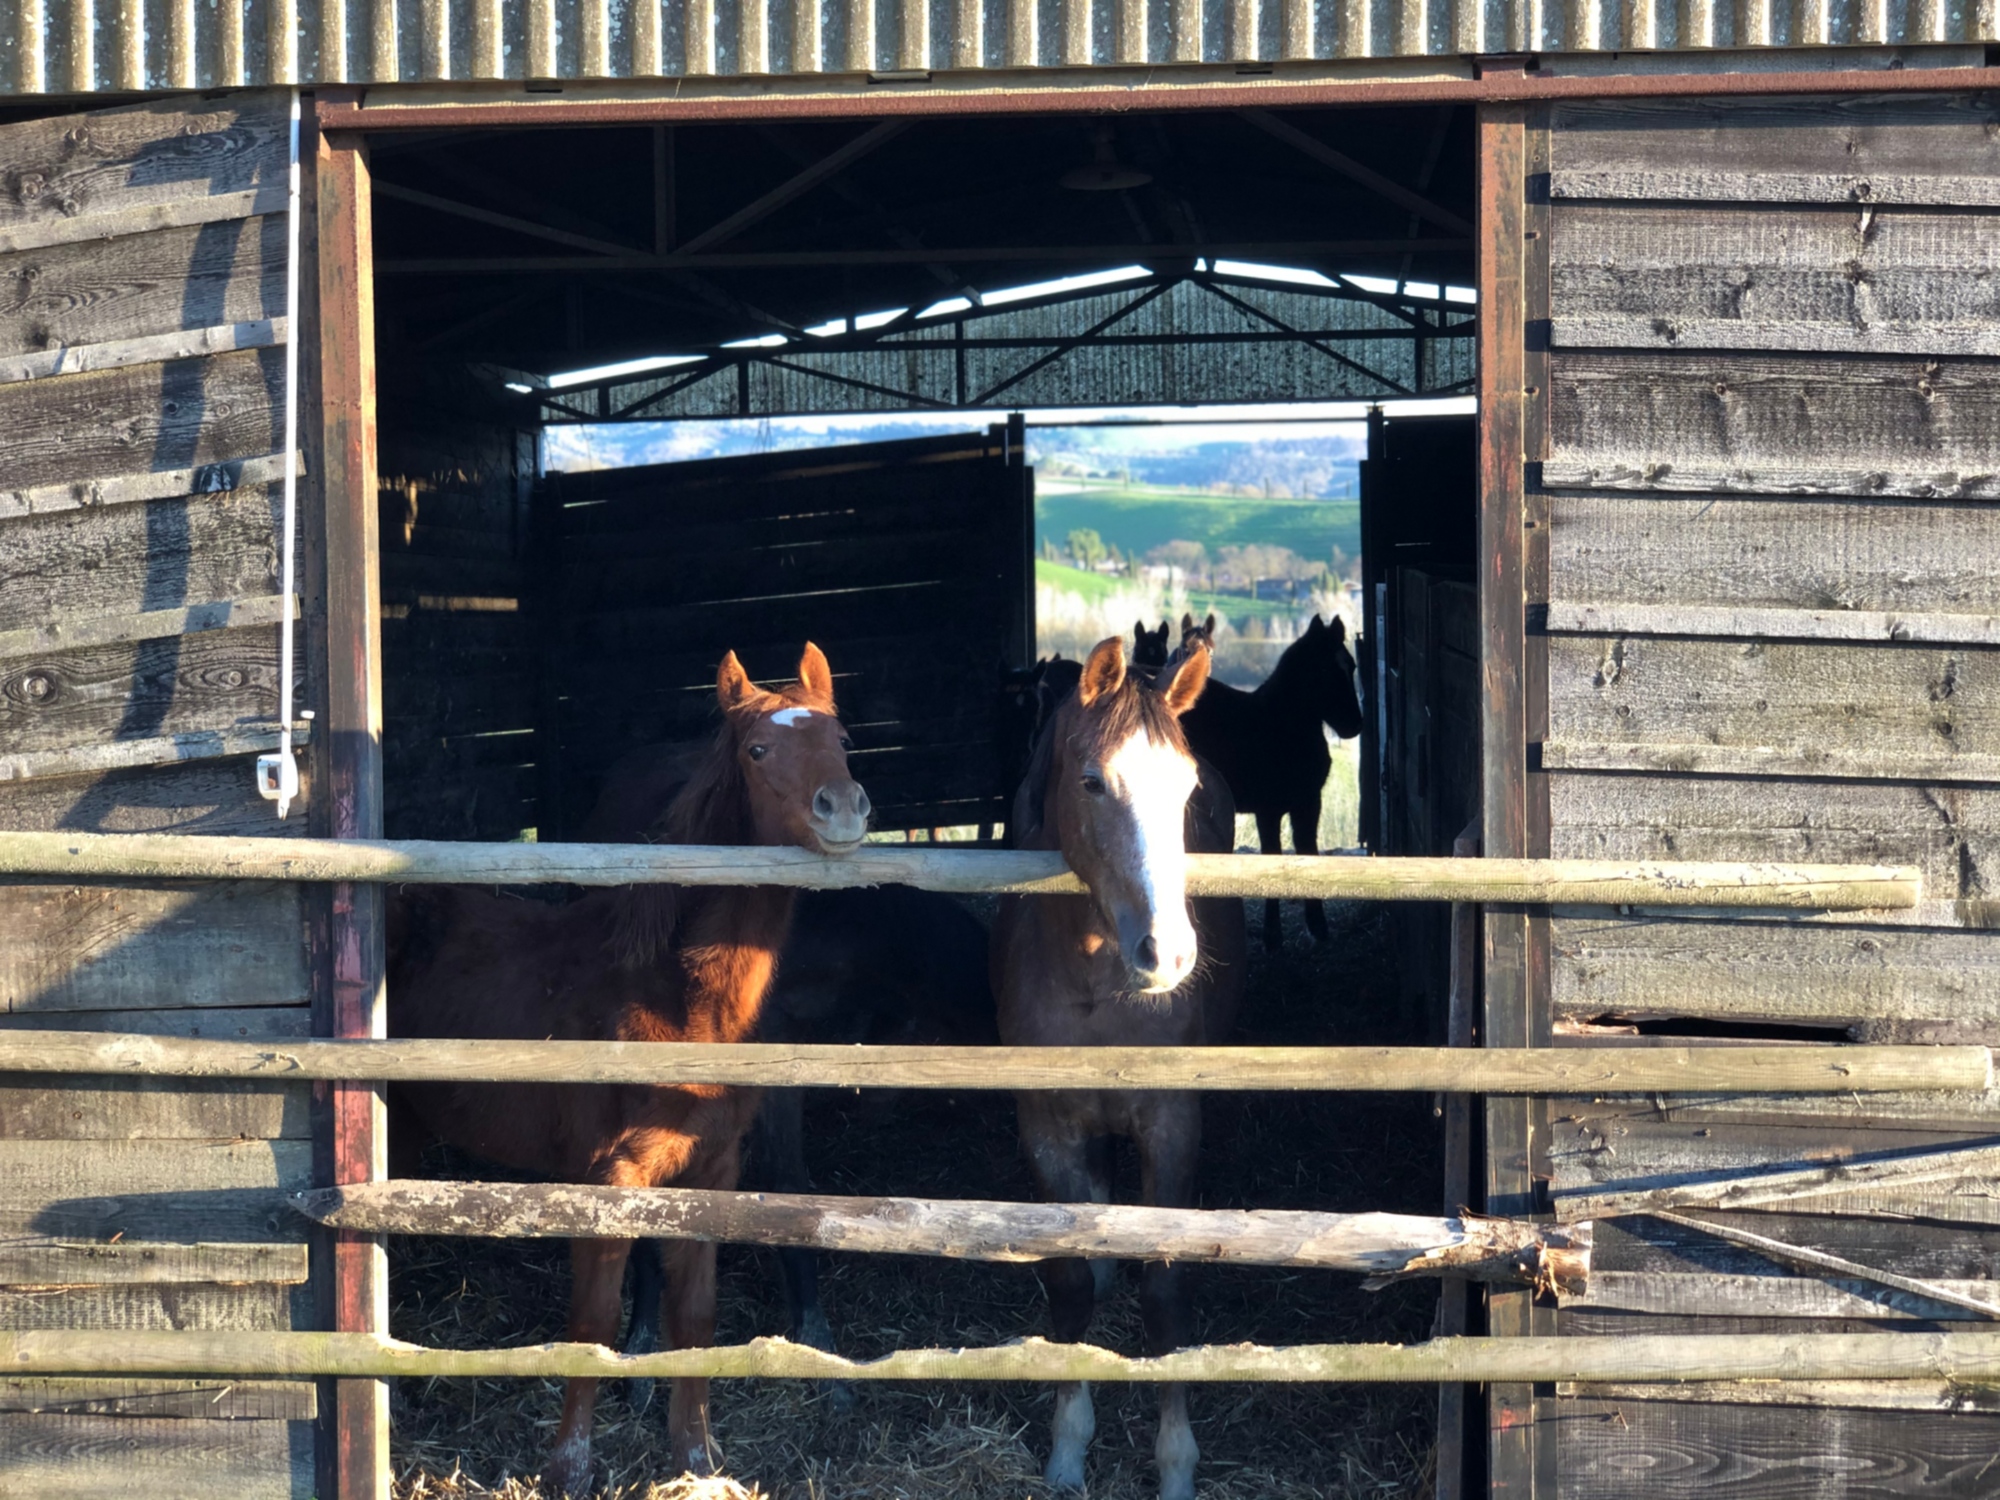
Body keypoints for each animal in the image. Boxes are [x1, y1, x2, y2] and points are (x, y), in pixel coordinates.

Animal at [382, 644, 868, 1496]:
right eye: (757, 750)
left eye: (841, 738)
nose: (841, 808)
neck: (674, 997)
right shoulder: (607, 1181)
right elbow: (595, 1322)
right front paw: (568, 1468)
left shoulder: (713, 1174)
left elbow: (695, 1318)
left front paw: (695, 1463)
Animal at [992, 636, 1240, 1500]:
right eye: (1094, 782)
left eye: (1187, 788)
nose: (1168, 954)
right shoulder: (1046, 1124)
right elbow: (1068, 1282)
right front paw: (1068, 1448)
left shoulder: (1173, 1123)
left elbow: (1165, 1289)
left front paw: (1175, 1463)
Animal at [1176, 612, 1368, 952]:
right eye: (1322, 669)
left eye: (1351, 666)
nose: (1353, 725)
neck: (1281, 727)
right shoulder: (1268, 810)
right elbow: (1271, 859)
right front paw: (1273, 936)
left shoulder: (1308, 804)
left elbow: (1309, 852)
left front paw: (1318, 928)